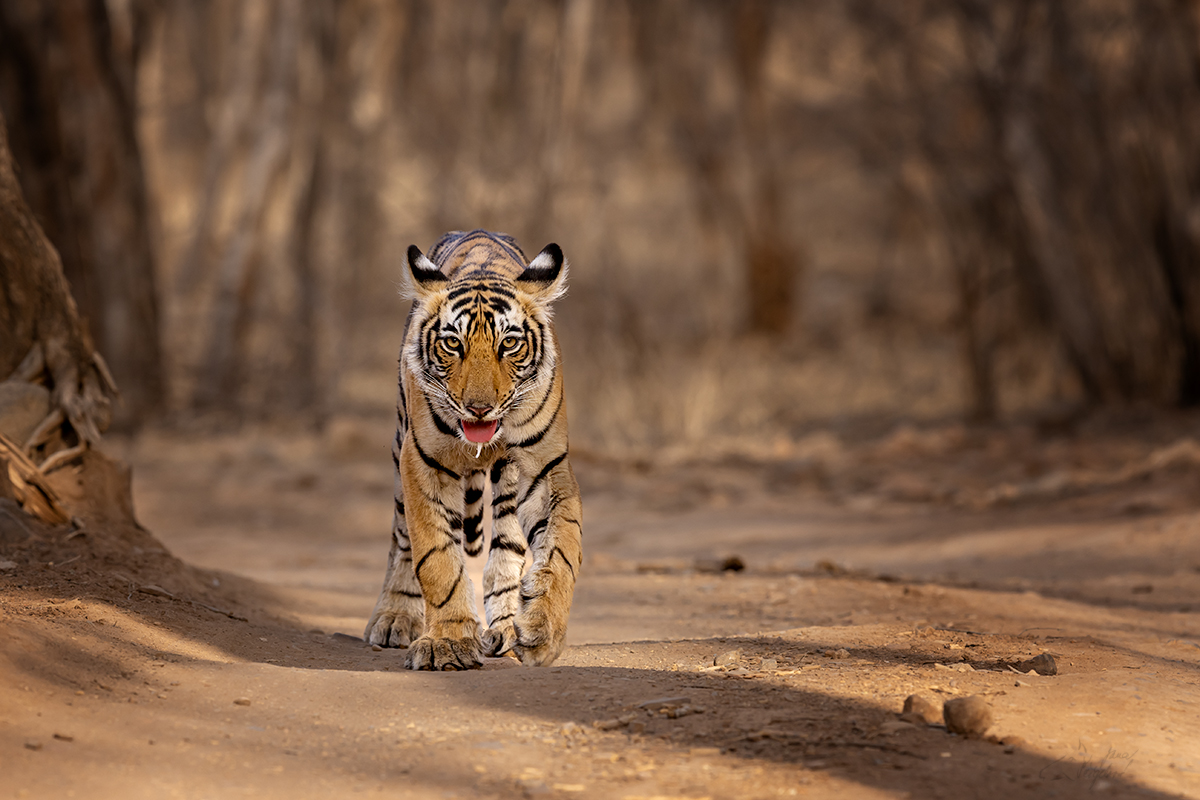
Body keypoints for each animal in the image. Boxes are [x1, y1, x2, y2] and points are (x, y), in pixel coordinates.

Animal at [364, 226, 585, 671]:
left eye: (510, 344)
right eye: (453, 344)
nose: (479, 407)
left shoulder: (545, 466)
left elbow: (563, 547)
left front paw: (542, 630)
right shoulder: (422, 462)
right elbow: (436, 558)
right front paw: (447, 643)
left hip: (508, 485)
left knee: (506, 550)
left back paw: (505, 628)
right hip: (399, 448)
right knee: (402, 542)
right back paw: (394, 618)